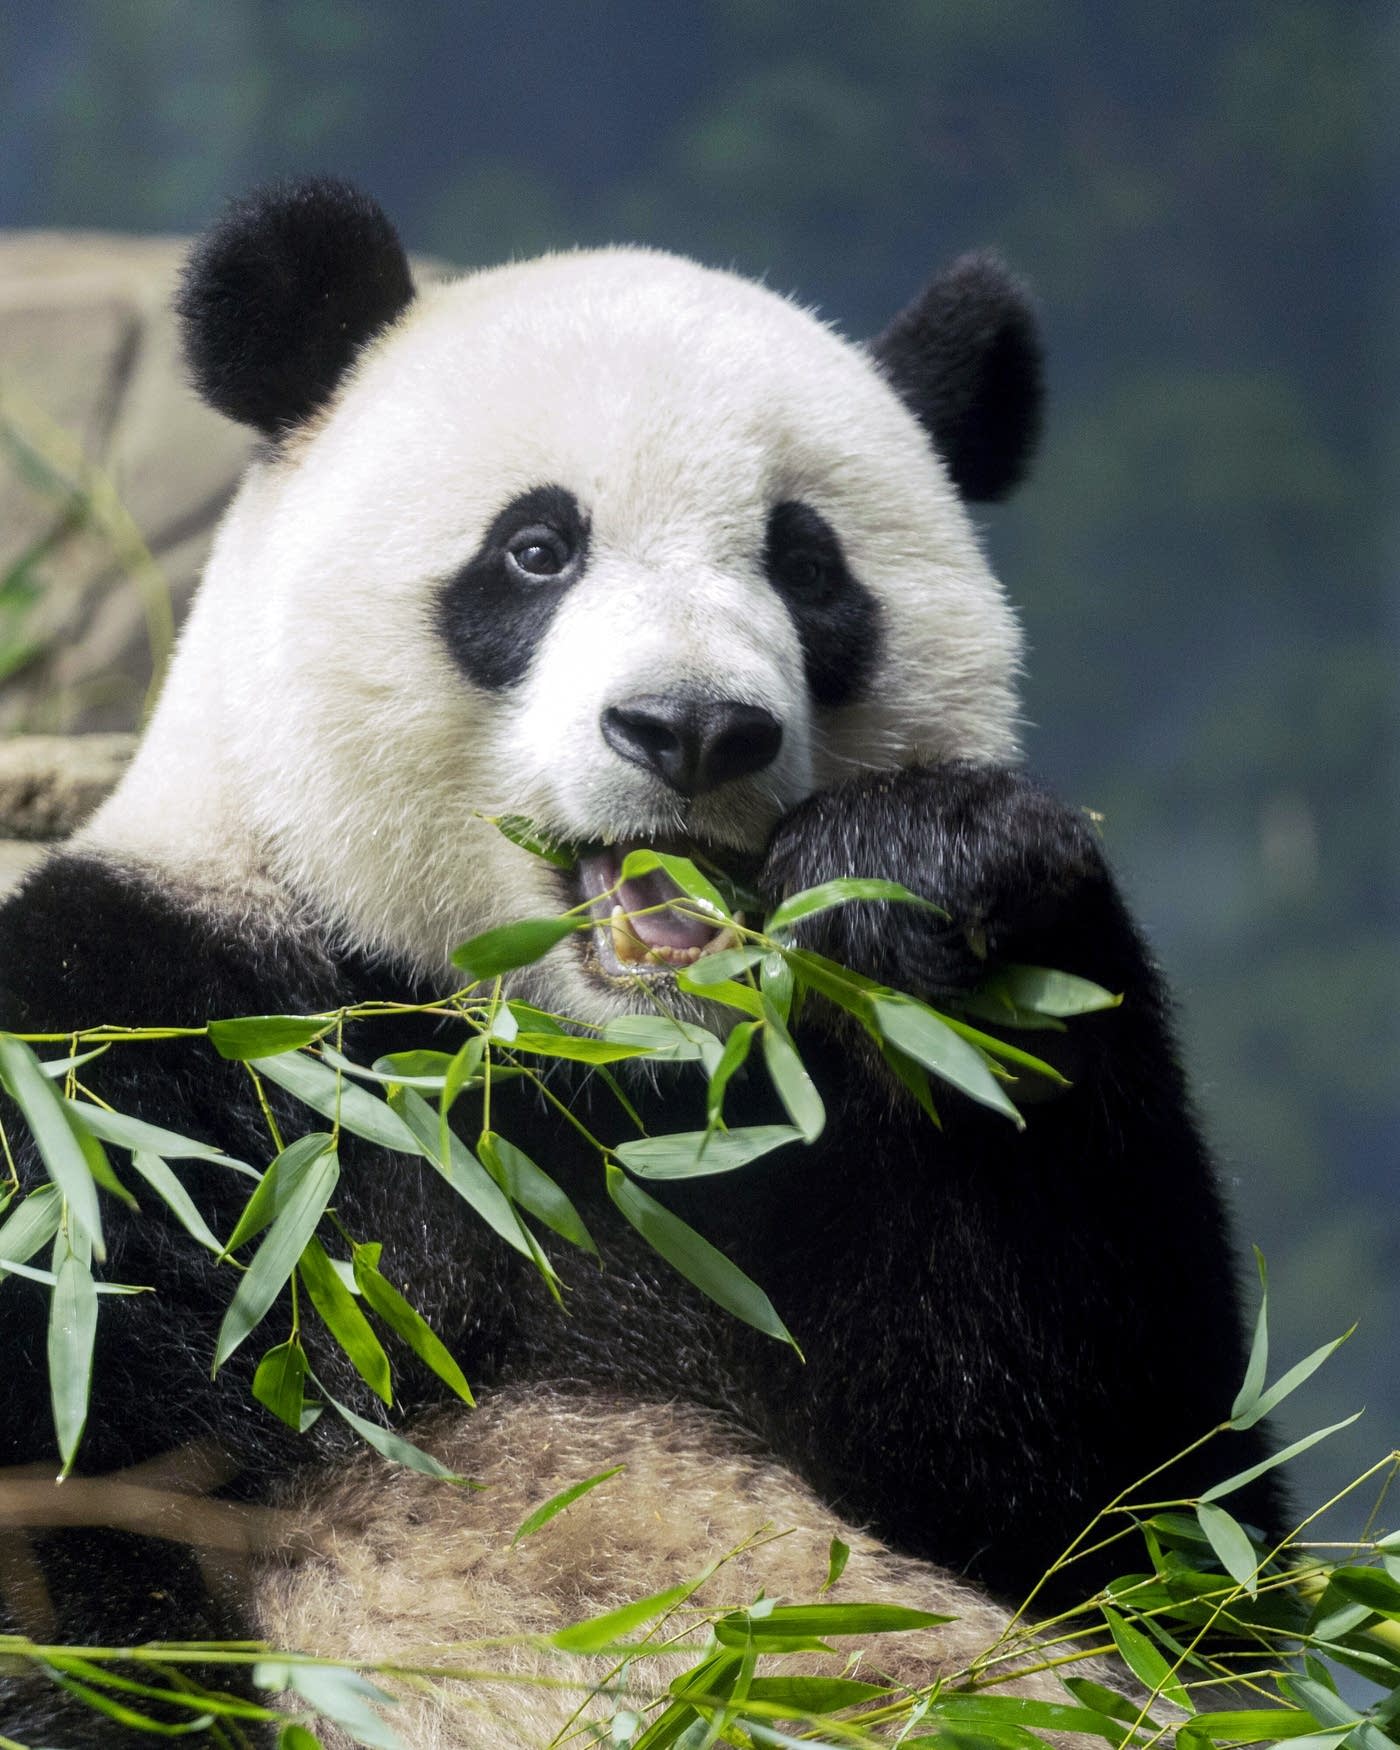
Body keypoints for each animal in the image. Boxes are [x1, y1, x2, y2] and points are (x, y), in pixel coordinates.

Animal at [0, 178, 1281, 1748]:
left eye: (806, 563)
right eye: (537, 549)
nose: (693, 728)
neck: (569, 1056)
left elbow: (1143, 1525)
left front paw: (929, 872)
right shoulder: (134, 1044)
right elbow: (94, 1462)